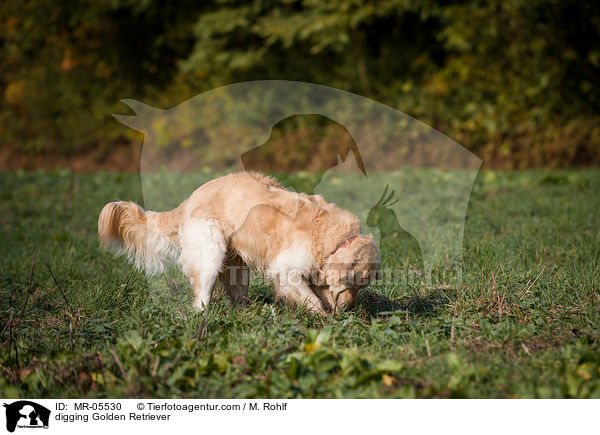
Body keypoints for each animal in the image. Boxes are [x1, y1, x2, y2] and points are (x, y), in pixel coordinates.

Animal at [98, 172, 380, 316]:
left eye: (362, 286)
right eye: (352, 283)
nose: (350, 309)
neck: (332, 239)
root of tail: (188, 200)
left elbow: (318, 293)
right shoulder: (286, 271)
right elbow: (312, 300)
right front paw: (324, 320)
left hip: (236, 267)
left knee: (236, 297)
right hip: (211, 253)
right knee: (201, 298)